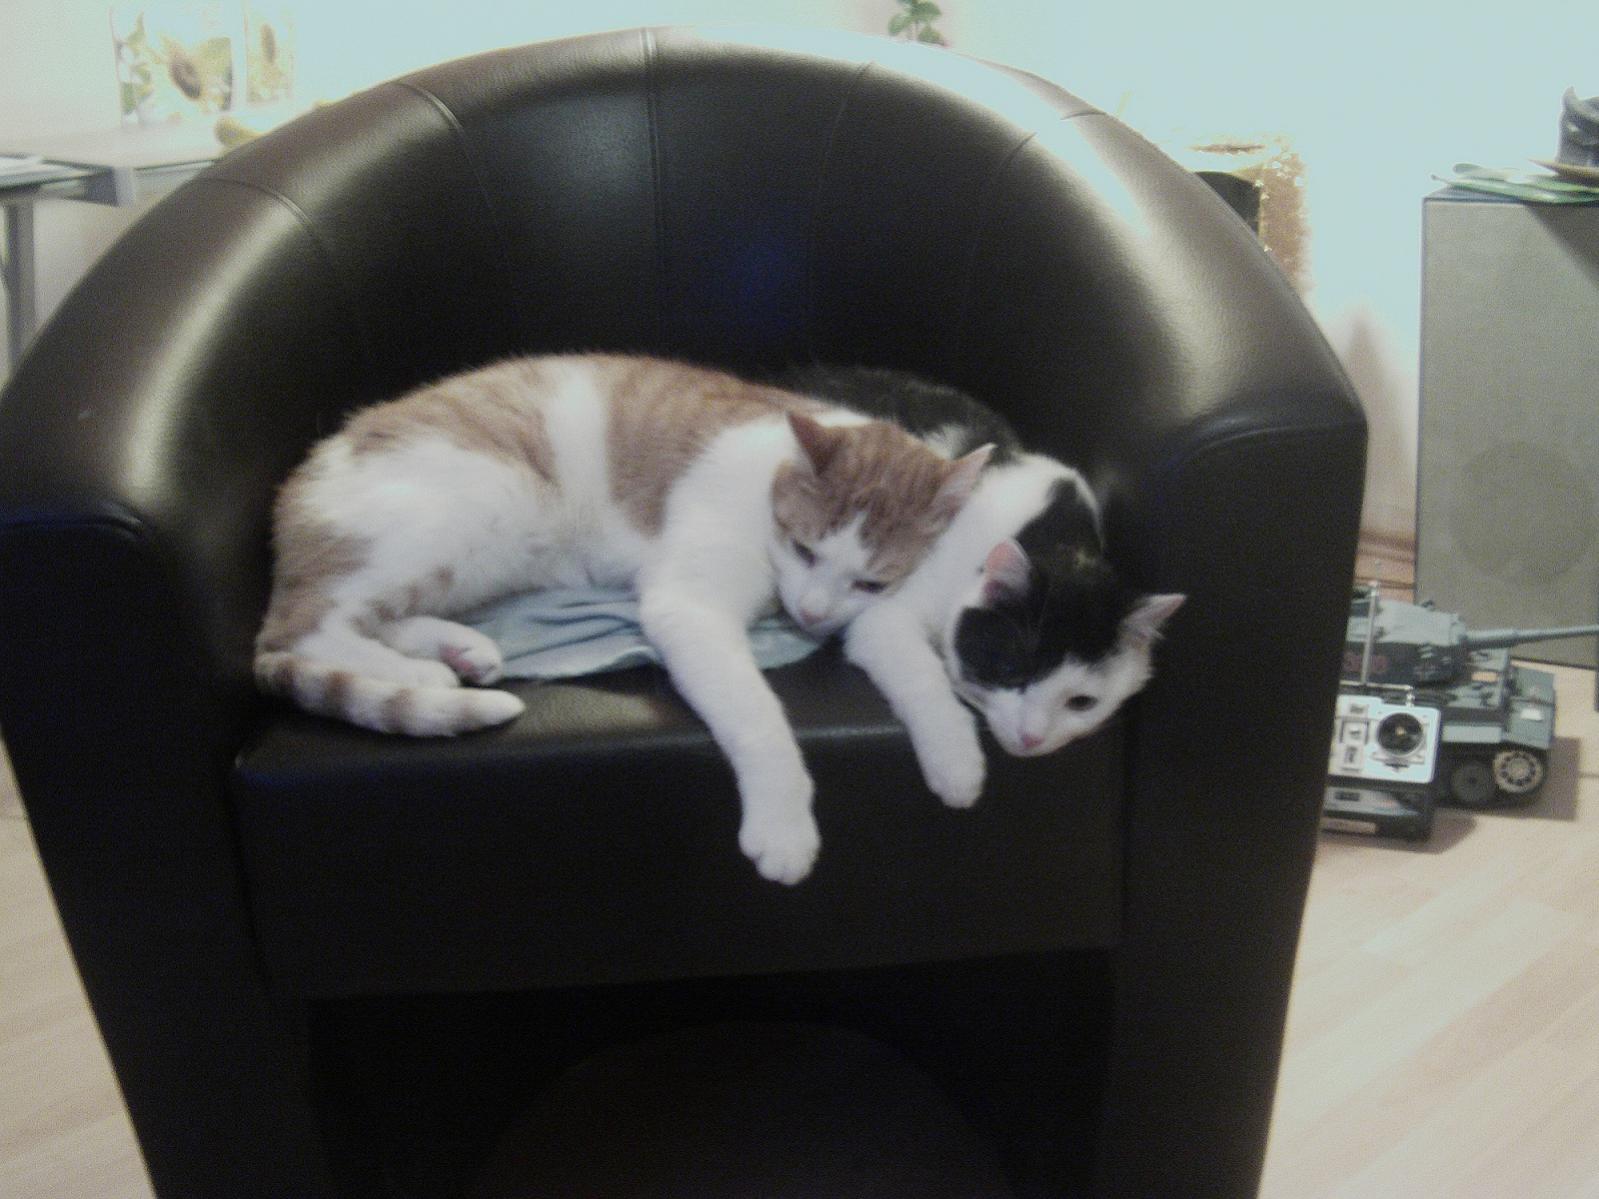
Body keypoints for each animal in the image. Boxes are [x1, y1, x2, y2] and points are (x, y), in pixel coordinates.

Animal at [255, 352, 990, 883]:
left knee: (371, 617)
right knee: (309, 625)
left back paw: (455, 651)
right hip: (480, 504)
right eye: (804, 547)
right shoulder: (688, 606)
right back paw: (421, 676)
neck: (766, 492)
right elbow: (759, 714)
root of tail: (297, 488)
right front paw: (784, 828)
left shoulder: (871, 617)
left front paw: (956, 759)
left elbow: (921, 679)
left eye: (870, 580)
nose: (810, 614)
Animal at [779, 365, 1184, 806]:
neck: (1045, 534)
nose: (1031, 737)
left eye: (1082, 702)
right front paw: (956, 765)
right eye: (1010, 670)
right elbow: (918, 668)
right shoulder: (886, 608)